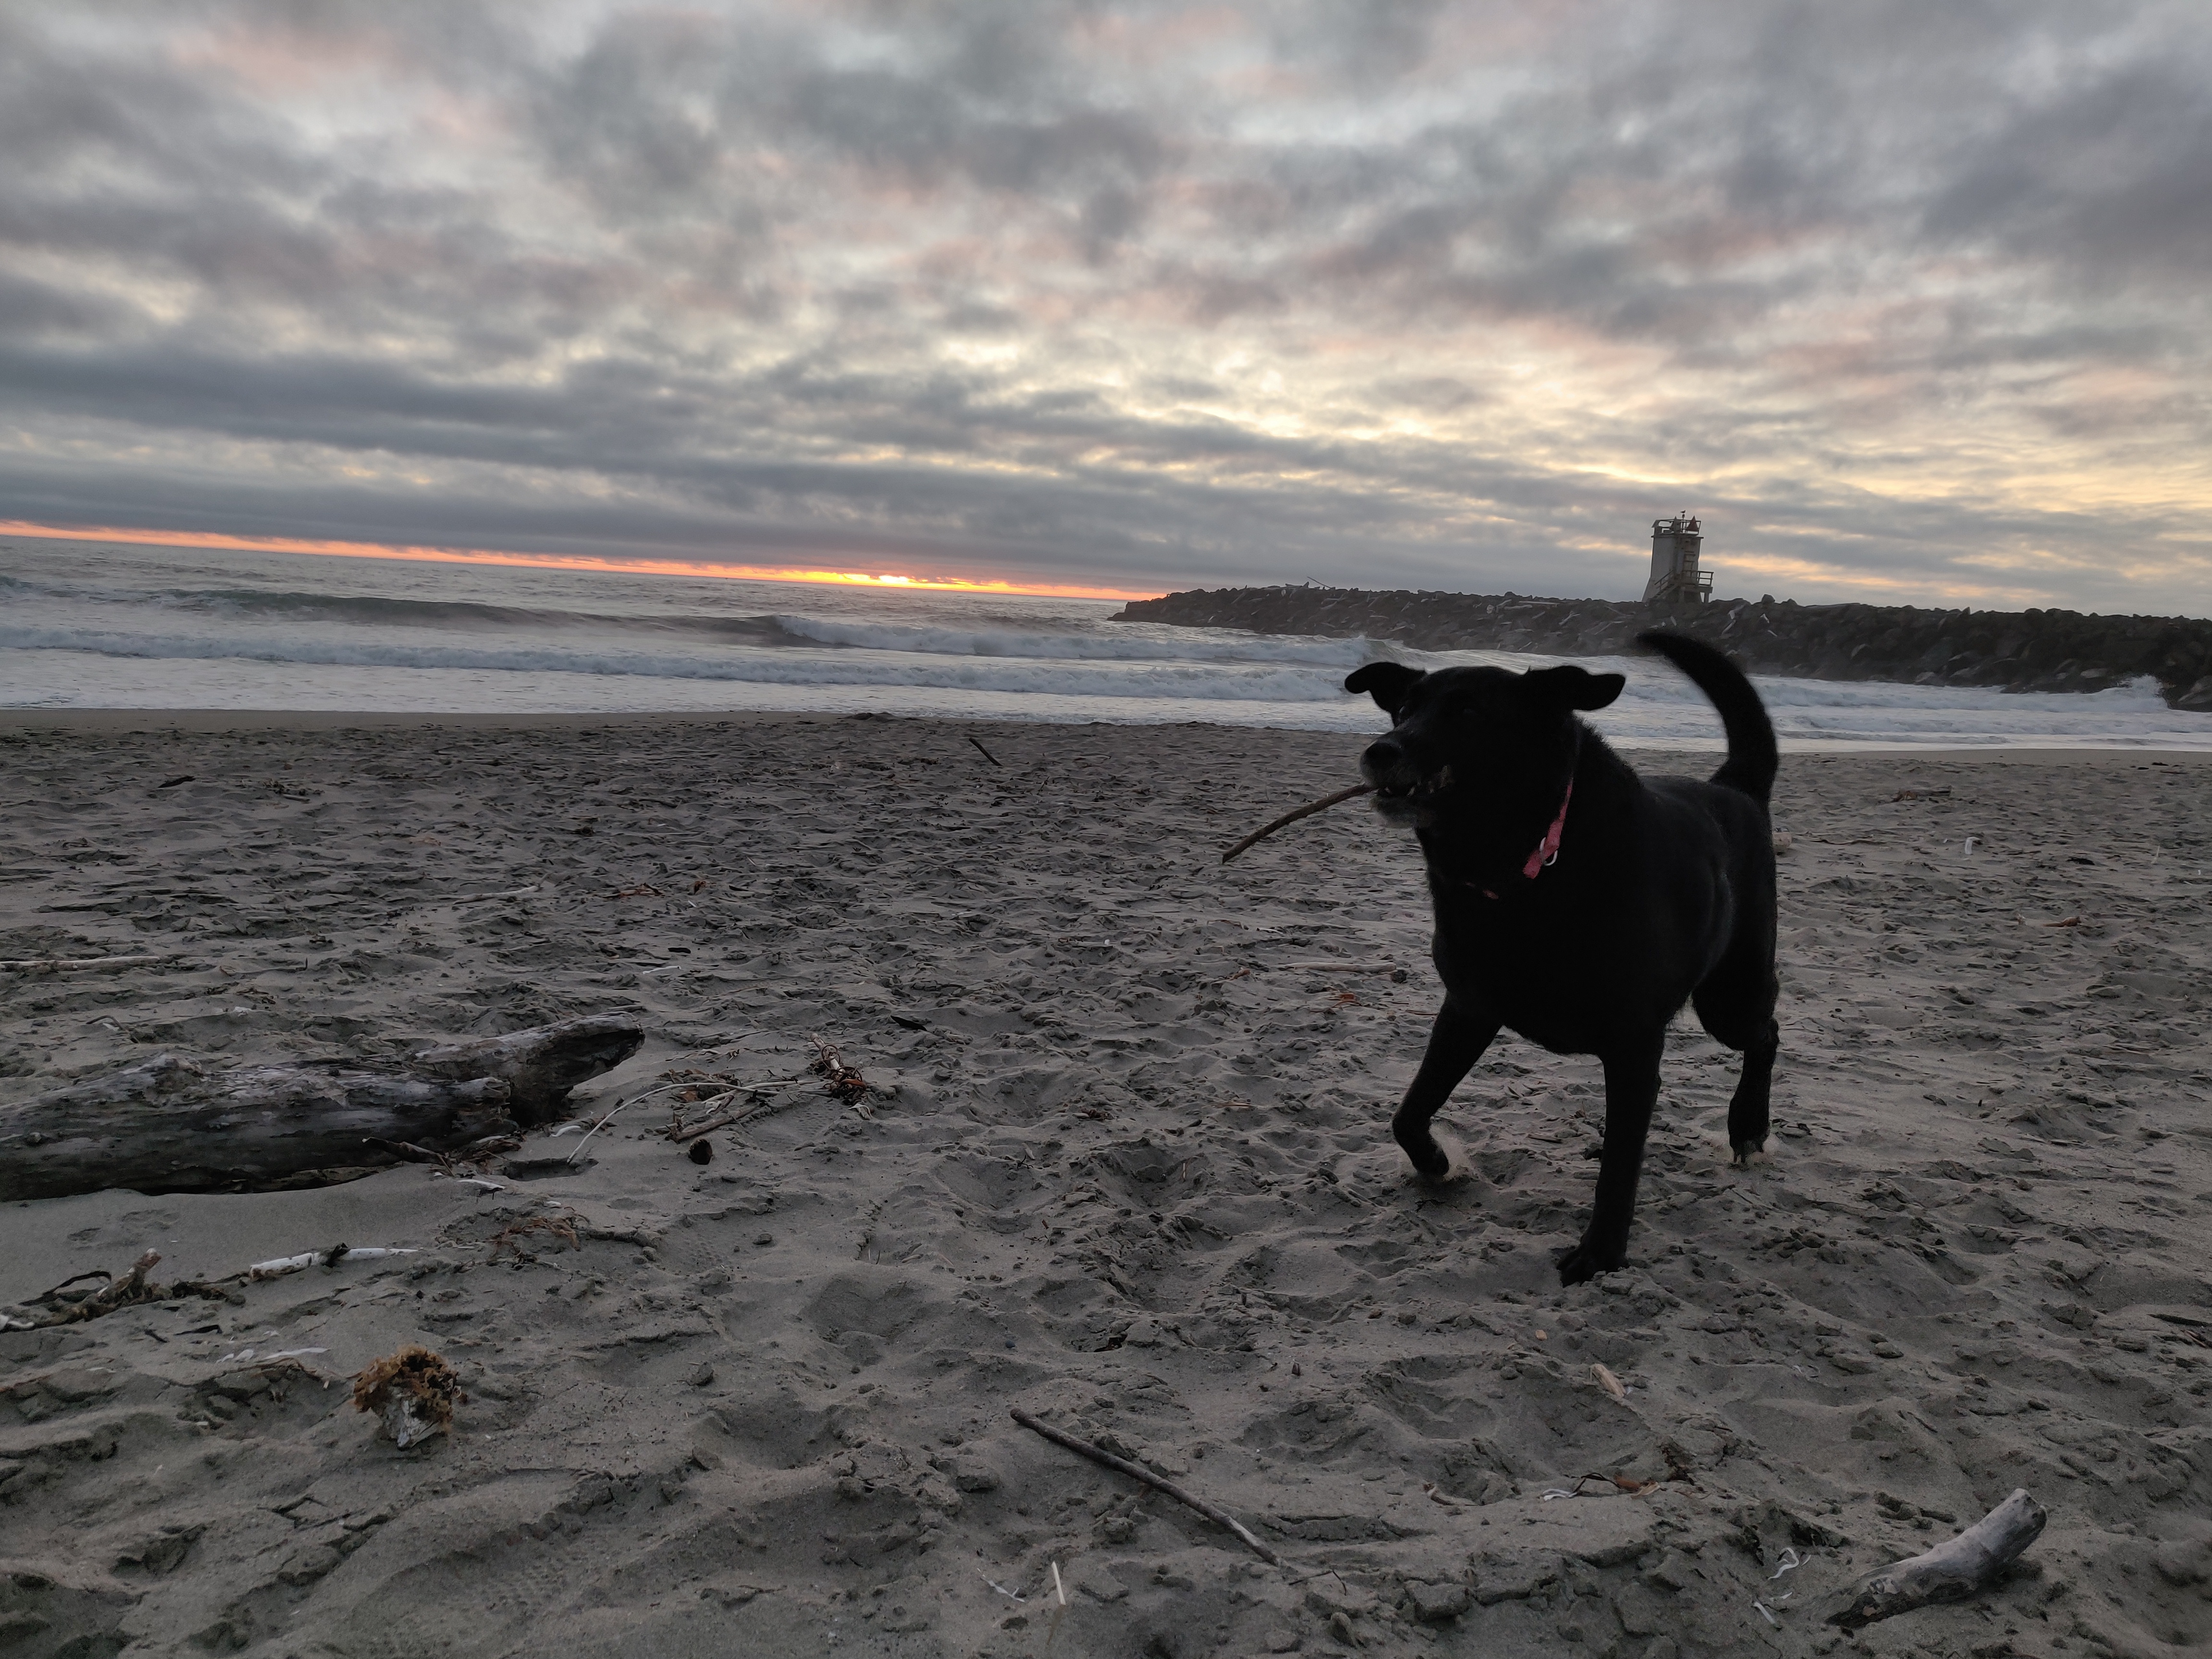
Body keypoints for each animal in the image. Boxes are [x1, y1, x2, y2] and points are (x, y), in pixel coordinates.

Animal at [1345, 628, 1778, 1292]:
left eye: (1469, 712)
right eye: (1404, 709)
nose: (1380, 750)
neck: (1526, 869)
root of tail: (1735, 787)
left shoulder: (1633, 1045)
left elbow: (1621, 1169)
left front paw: (1600, 1255)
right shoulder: (1469, 1008)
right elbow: (1409, 1112)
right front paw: (1437, 1163)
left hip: (1729, 999)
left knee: (1767, 1034)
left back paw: (1748, 1124)